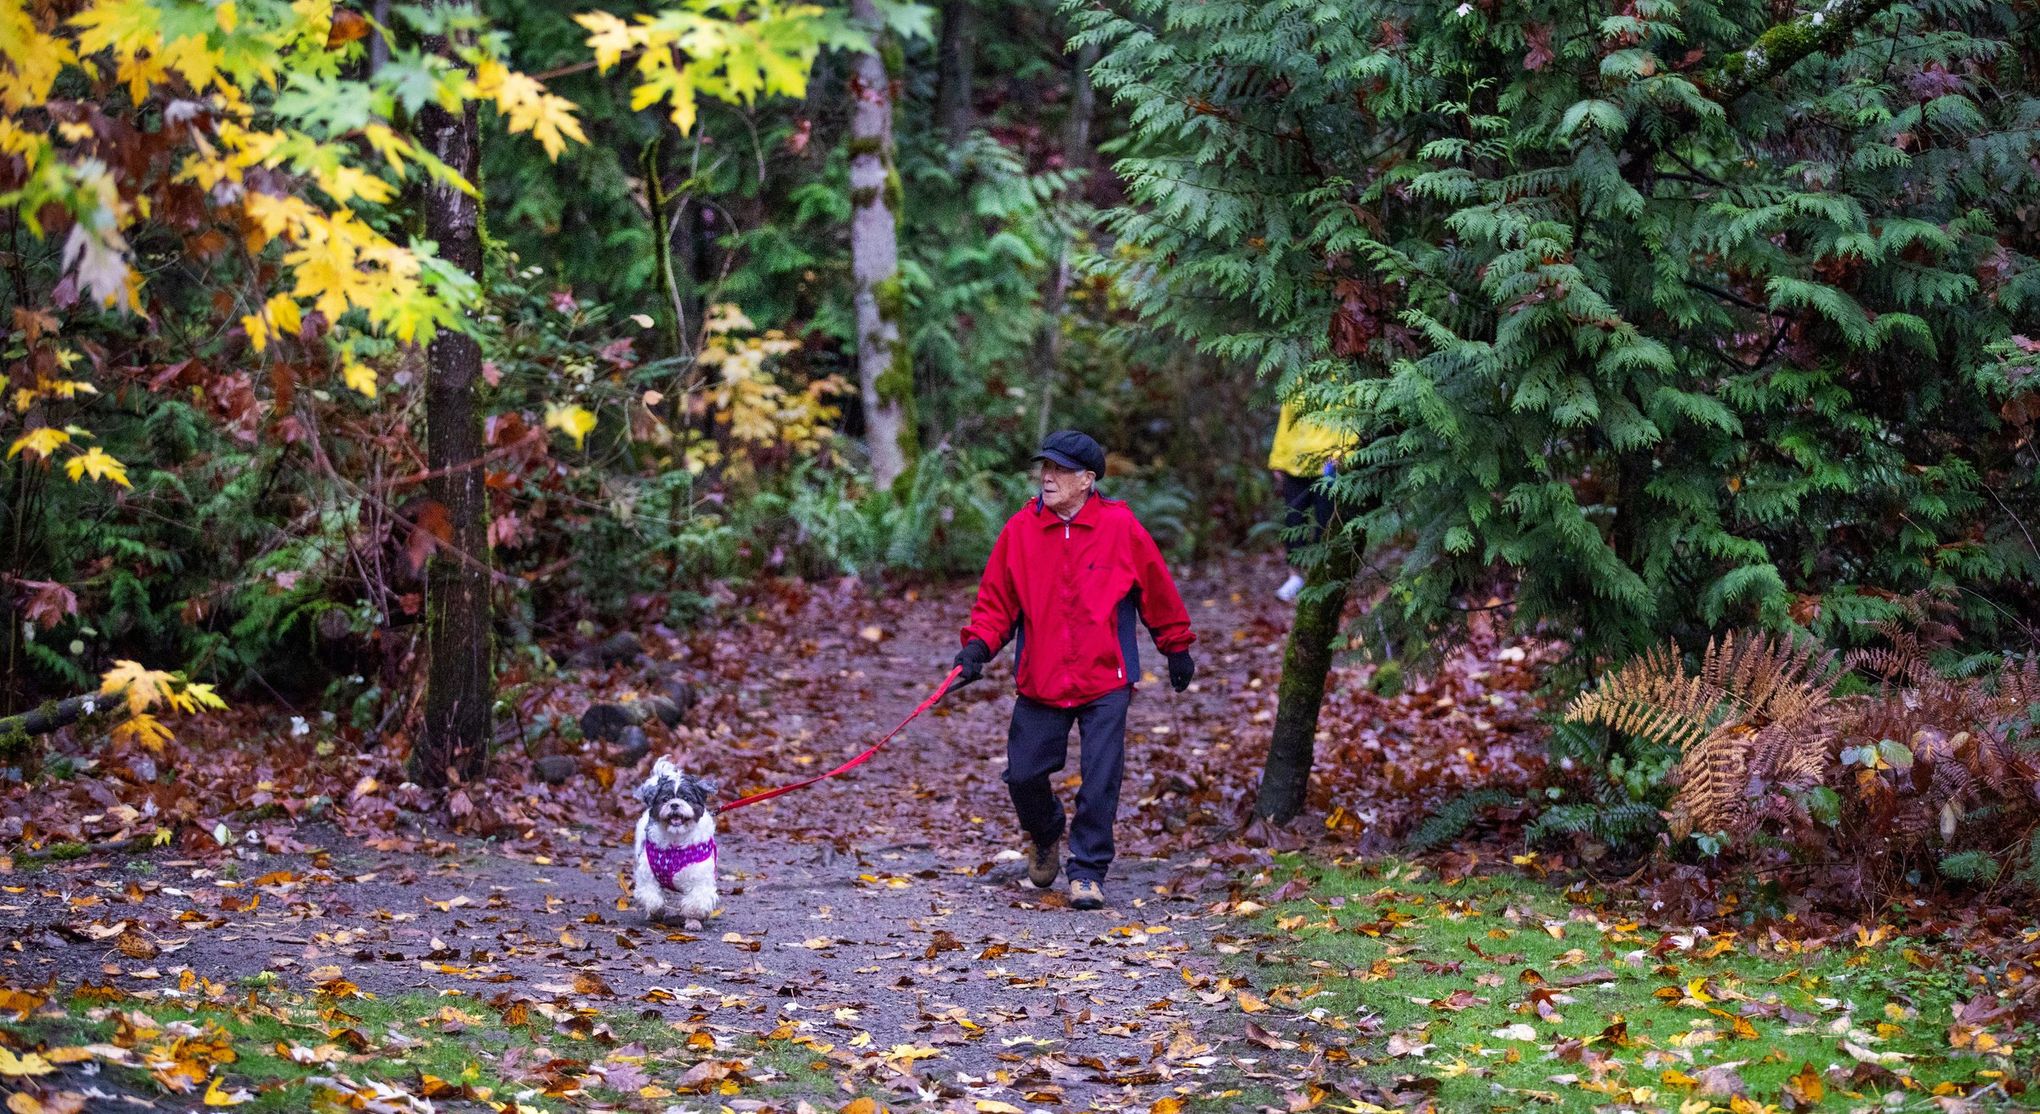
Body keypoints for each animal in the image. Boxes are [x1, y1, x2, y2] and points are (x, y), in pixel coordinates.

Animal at [632, 754, 722, 918]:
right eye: (665, 799)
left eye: (686, 798)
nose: (674, 804)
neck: (676, 839)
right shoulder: (647, 872)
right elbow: (649, 891)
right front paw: (655, 908)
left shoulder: (700, 875)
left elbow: (699, 895)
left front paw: (694, 911)